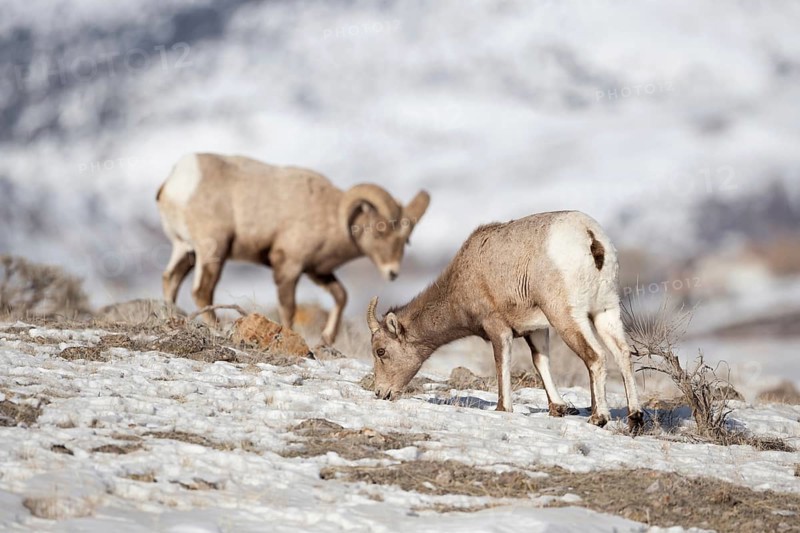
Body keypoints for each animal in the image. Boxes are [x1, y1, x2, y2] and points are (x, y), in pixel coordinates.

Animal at [157, 153, 429, 344]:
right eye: (380, 231)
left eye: (406, 240)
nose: (392, 273)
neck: (329, 214)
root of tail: (176, 184)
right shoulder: (289, 267)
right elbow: (289, 309)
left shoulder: (317, 271)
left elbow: (341, 296)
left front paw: (327, 339)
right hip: (212, 251)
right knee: (202, 290)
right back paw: (217, 328)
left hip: (186, 251)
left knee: (171, 279)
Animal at [366, 210, 644, 429]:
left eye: (381, 351)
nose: (381, 393)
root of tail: (591, 237)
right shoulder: (536, 330)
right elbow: (540, 362)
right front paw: (558, 408)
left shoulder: (498, 328)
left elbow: (502, 363)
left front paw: (502, 408)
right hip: (606, 311)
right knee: (622, 353)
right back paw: (635, 416)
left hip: (568, 316)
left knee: (595, 356)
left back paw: (599, 418)